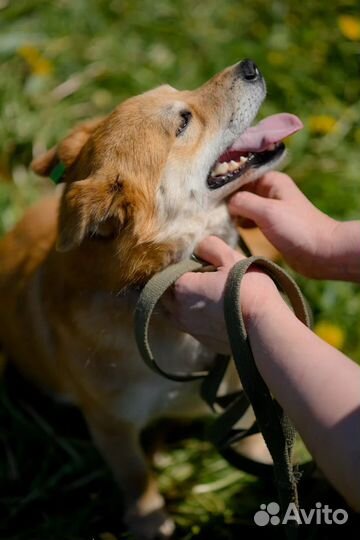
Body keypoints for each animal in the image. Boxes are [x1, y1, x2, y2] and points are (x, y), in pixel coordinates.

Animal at [0, 61, 300, 536]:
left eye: (179, 90)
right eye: (183, 121)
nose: (250, 66)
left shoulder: (246, 383)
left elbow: (259, 434)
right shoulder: (111, 422)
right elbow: (134, 474)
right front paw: (148, 519)